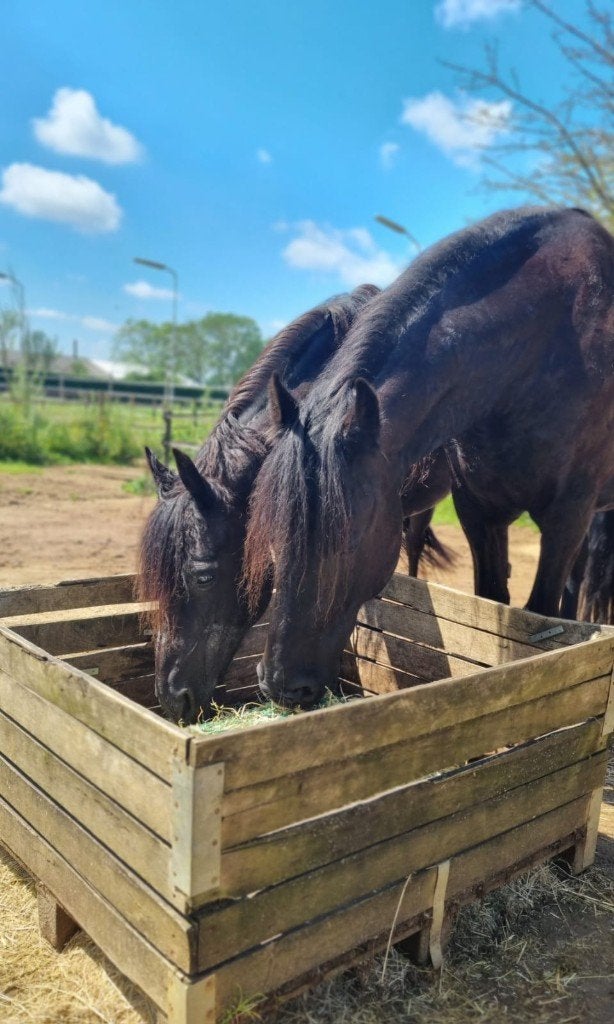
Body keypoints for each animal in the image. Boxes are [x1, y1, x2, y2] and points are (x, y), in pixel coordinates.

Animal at [244, 206, 614, 708]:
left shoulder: (565, 517)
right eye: (271, 528)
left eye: (348, 540)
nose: (281, 685)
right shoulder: (480, 512)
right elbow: (495, 602)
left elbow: (541, 615)